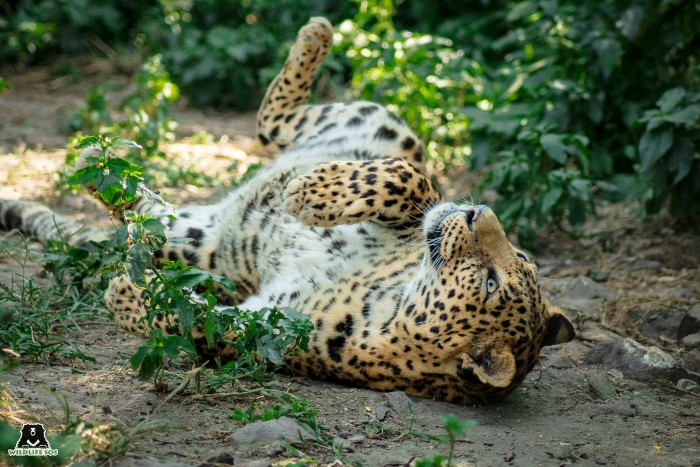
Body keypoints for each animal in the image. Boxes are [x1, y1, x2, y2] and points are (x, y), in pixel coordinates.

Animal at [0, 17, 576, 406]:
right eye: (519, 258)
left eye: (490, 284)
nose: (481, 212)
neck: (393, 296)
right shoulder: (411, 201)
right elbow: (406, 180)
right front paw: (310, 194)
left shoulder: (270, 330)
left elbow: (200, 325)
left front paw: (125, 295)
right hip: (376, 120)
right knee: (273, 123)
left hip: (193, 243)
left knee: (144, 217)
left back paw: (99, 172)